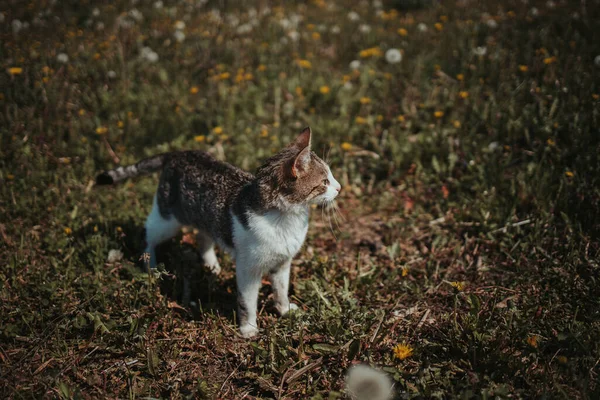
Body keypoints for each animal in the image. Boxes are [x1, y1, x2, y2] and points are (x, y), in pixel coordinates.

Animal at [96, 127, 340, 338]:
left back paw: (211, 265)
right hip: (167, 220)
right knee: (148, 234)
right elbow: (247, 302)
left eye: (331, 177)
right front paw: (248, 329)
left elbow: (281, 290)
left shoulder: (282, 263)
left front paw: (285, 310)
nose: (339, 188)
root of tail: (178, 153)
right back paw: (150, 265)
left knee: (202, 237)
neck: (287, 219)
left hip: (202, 219)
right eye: (324, 182)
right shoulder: (248, 269)